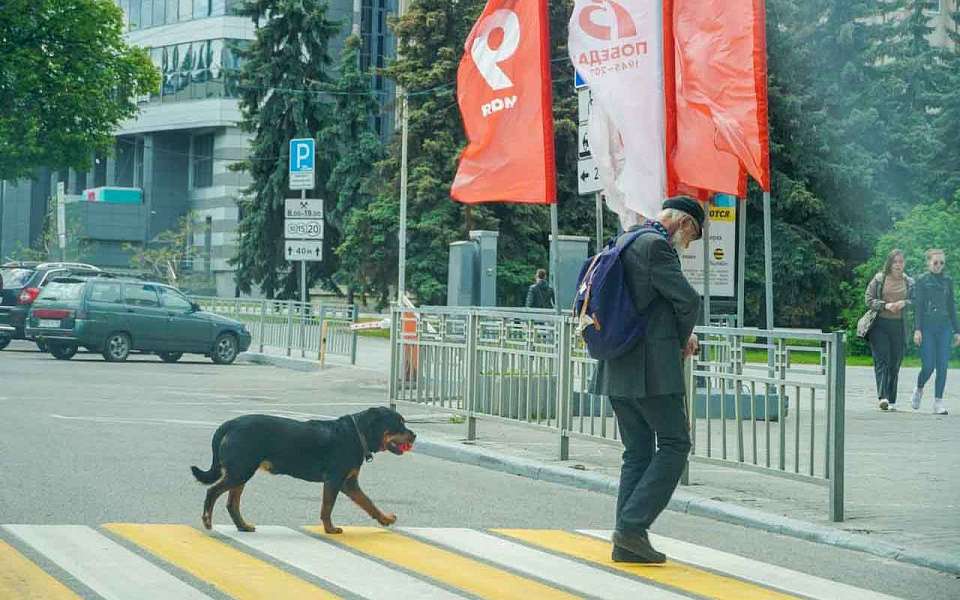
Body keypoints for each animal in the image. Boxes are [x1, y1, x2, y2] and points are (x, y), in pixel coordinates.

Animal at [192, 408, 416, 536]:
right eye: (399, 423)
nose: (414, 434)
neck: (357, 433)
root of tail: (229, 424)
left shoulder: (349, 483)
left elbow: (368, 503)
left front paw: (385, 519)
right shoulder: (335, 480)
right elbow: (327, 507)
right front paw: (330, 529)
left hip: (241, 472)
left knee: (232, 503)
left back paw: (243, 526)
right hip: (240, 471)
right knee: (212, 491)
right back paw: (207, 521)